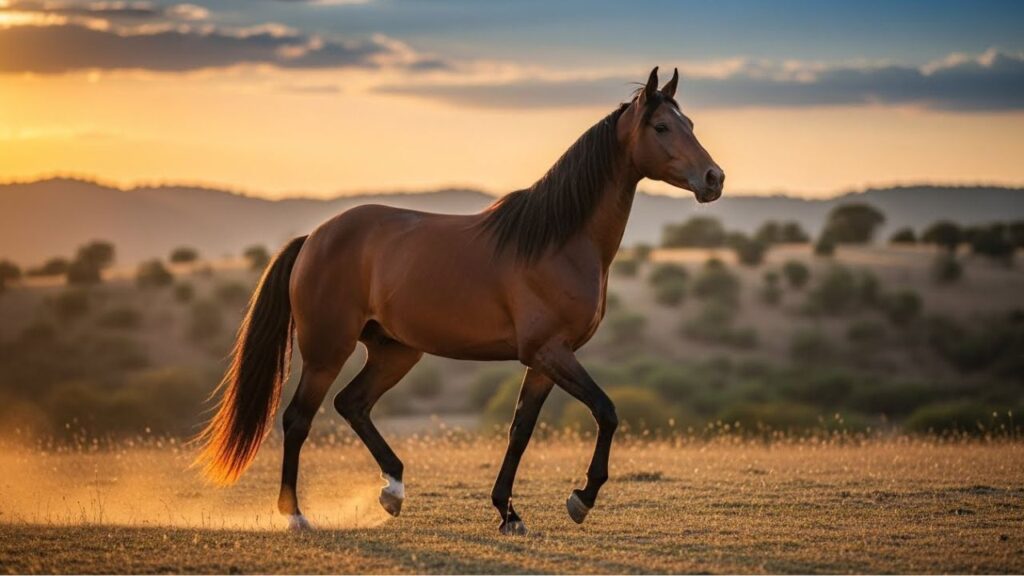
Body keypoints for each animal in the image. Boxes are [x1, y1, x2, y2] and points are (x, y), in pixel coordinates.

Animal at [195, 66, 724, 535]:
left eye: (691, 125)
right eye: (661, 127)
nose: (713, 178)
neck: (559, 240)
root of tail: (315, 238)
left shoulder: (545, 360)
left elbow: (520, 430)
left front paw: (508, 513)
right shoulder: (550, 352)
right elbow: (607, 411)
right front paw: (580, 499)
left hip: (395, 351)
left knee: (353, 404)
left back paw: (393, 490)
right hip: (328, 350)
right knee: (298, 420)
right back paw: (296, 515)